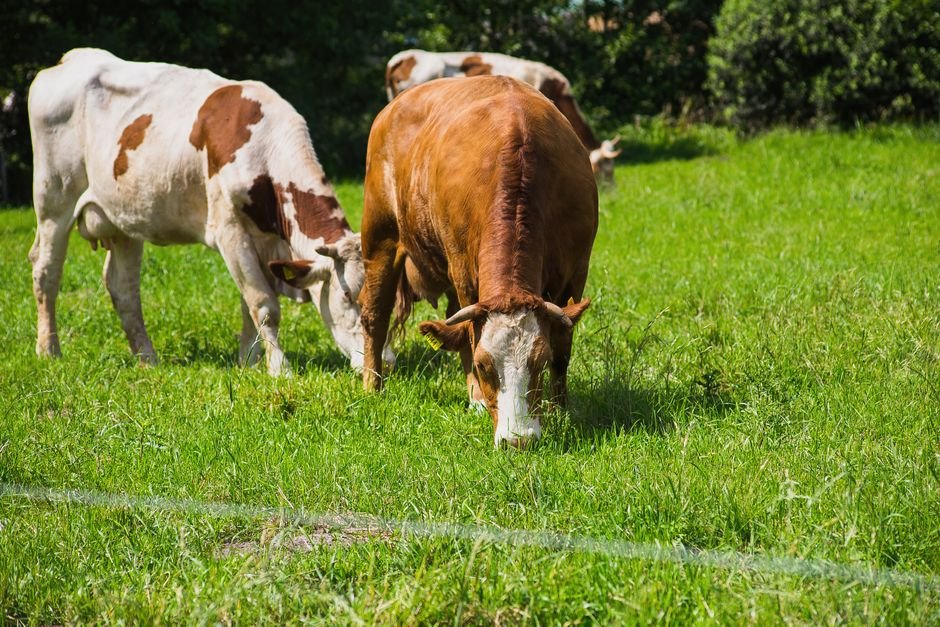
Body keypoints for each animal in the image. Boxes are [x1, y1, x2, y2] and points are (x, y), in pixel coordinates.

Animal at [28, 48, 394, 375]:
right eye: (347, 295)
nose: (386, 363)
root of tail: (72, 58)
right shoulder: (229, 231)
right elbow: (263, 304)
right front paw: (279, 369)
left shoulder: (264, 244)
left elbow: (249, 305)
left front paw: (249, 362)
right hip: (53, 199)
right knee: (46, 271)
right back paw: (49, 350)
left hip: (123, 218)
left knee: (123, 287)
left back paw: (147, 359)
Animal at [357, 76, 597, 447]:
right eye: (486, 365)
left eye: (539, 362)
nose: (518, 440)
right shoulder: (464, 272)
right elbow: (467, 338)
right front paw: (478, 396)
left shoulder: (576, 272)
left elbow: (563, 344)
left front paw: (560, 407)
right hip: (379, 236)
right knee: (375, 313)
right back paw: (373, 385)